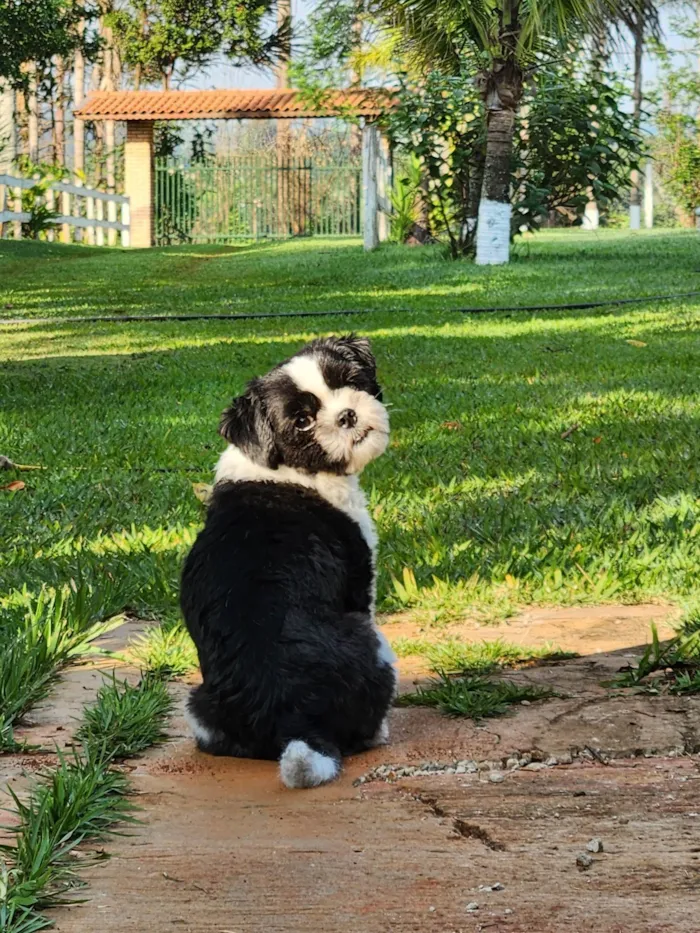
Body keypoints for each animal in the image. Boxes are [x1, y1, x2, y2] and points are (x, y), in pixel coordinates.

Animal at [180, 334, 396, 788]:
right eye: (302, 421)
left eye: (351, 382)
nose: (347, 415)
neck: (286, 467)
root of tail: (296, 725)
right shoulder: (361, 578)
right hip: (371, 642)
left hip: (198, 702)